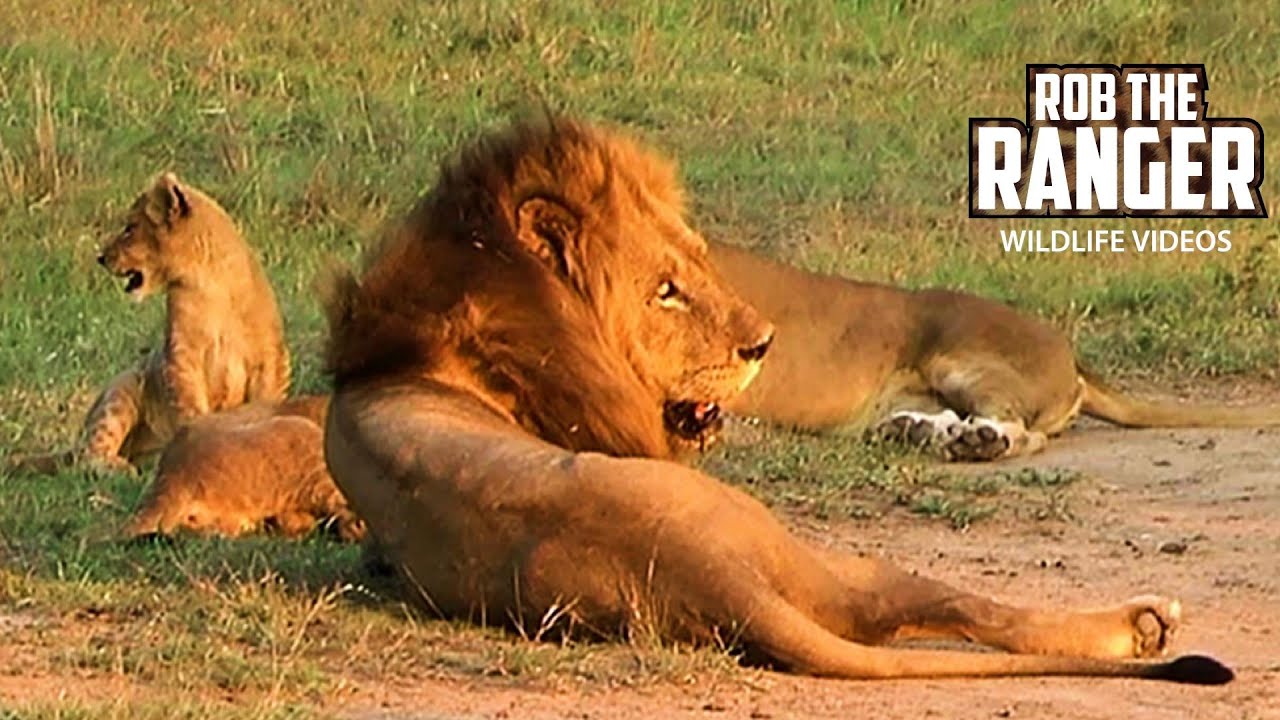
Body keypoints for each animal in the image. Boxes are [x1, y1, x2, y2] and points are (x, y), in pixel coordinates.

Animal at [11, 173, 291, 474]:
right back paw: (123, 467)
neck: (210, 285)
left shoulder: (269, 358)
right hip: (121, 389)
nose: (101, 257)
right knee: (87, 456)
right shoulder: (181, 355)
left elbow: (266, 402)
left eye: (130, 228)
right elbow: (190, 407)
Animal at [712, 242, 1280, 461]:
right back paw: (918, 431)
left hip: (964, 361)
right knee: (946, 418)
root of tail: (1072, 357)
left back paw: (979, 441)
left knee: (1025, 434)